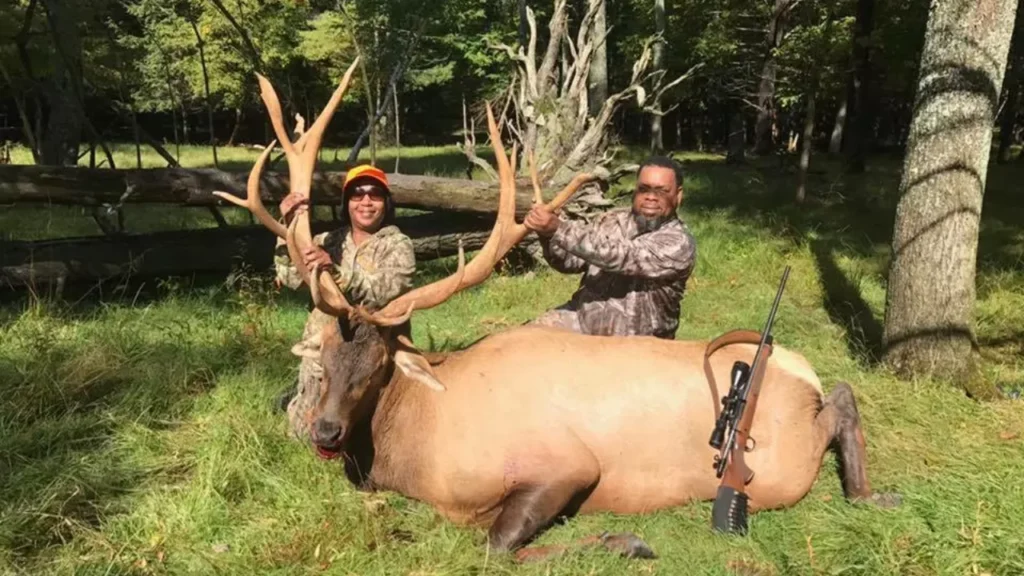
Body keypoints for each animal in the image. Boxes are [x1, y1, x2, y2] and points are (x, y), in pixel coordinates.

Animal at [216, 59, 901, 563]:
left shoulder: (564, 463)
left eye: (380, 364)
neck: (416, 454)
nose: (325, 432)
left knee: (836, 410)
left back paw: (870, 496)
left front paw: (625, 539)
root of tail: (800, 370)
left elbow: (495, 546)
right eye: (327, 355)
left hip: (779, 464)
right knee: (843, 392)